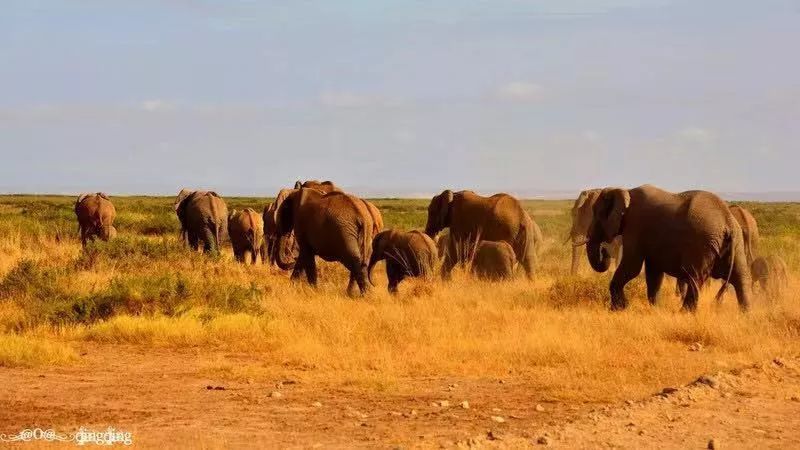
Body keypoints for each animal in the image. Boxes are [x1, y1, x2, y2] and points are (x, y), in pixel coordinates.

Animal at [588, 185, 752, 312]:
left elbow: (632, 266)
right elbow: (653, 271)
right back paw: (745, 316)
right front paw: (655, 309)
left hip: (702, 243)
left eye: (596, 214)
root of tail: (727, 221)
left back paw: (684, 313)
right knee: (742, 279)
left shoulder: (635, 227)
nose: (604, 251)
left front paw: (618, 309)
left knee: (694, 277)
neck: (625, 190)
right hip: (737, 243)